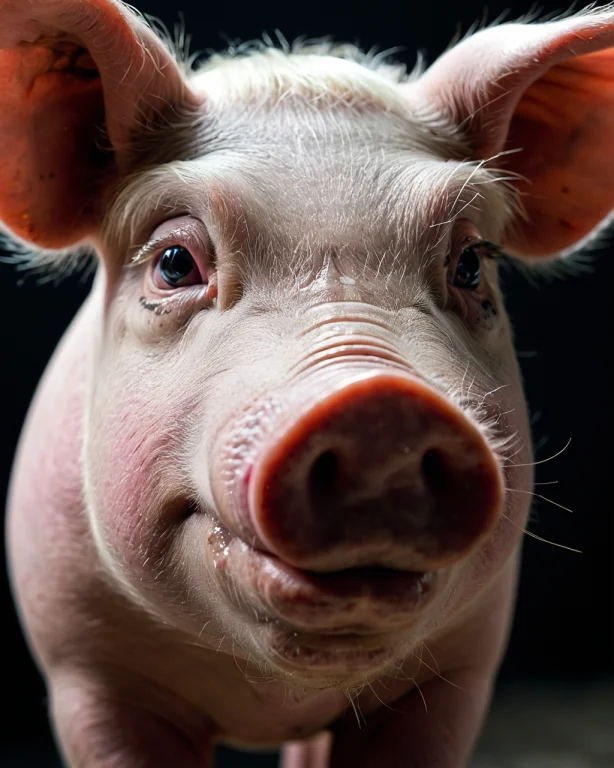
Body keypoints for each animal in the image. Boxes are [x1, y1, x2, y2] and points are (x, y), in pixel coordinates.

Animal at [3, 2, 614, 766]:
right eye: (174, 262)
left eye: (471, 264)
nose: (377, 404)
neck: (273, 696)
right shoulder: (88, 669)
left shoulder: (457, 673)